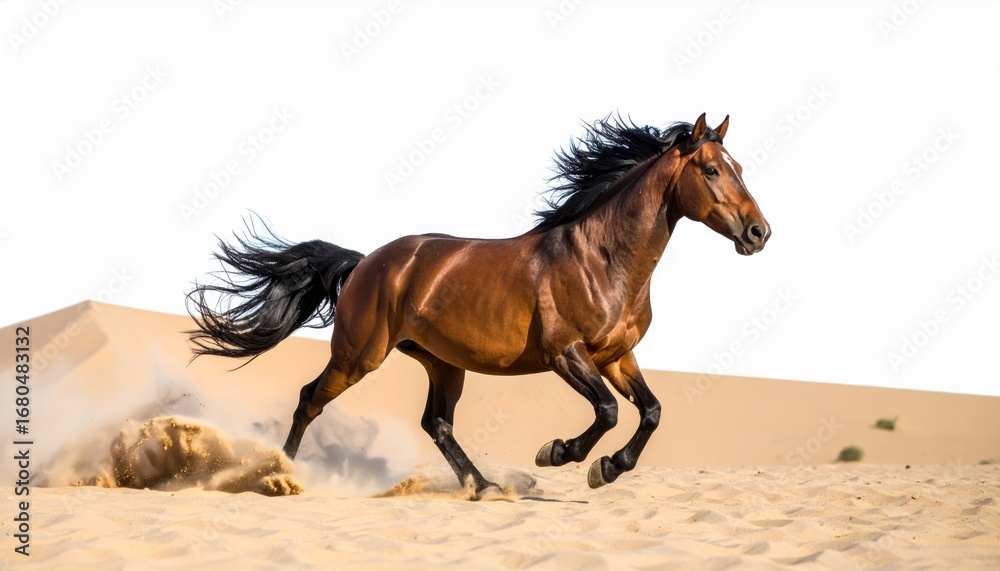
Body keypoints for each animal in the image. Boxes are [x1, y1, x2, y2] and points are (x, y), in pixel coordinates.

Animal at [187, 112, 770, 498]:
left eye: (739, 165)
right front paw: (561, 454)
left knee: (436, 424)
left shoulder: (616, 357)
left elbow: (650, 411)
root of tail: (366, 262)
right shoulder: (567, 355)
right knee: (311, 399)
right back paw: (279, 474)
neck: (602, 260)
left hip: (443, 363)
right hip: (358, 356)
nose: (758, 233)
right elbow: (606, 411)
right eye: (712, 170)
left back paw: (484, 485)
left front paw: (606, 467)